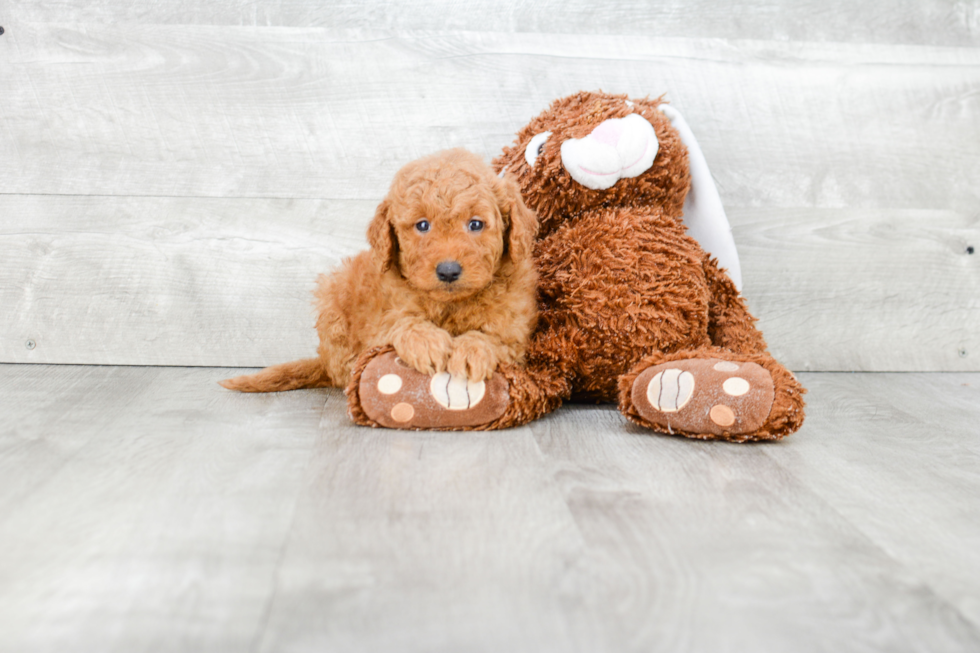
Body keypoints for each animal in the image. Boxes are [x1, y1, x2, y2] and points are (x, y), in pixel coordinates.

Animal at [222, 148, 540, 398]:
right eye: (422, 225)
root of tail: (322, 361)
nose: (448, 271)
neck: (450, 305)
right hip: (333, 299)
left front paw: (472, 350)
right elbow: (402, 323)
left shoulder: (515, 332)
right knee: (342, 368)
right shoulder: (381, 320)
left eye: (475, 224)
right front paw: (427, 343)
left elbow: (494, 338)